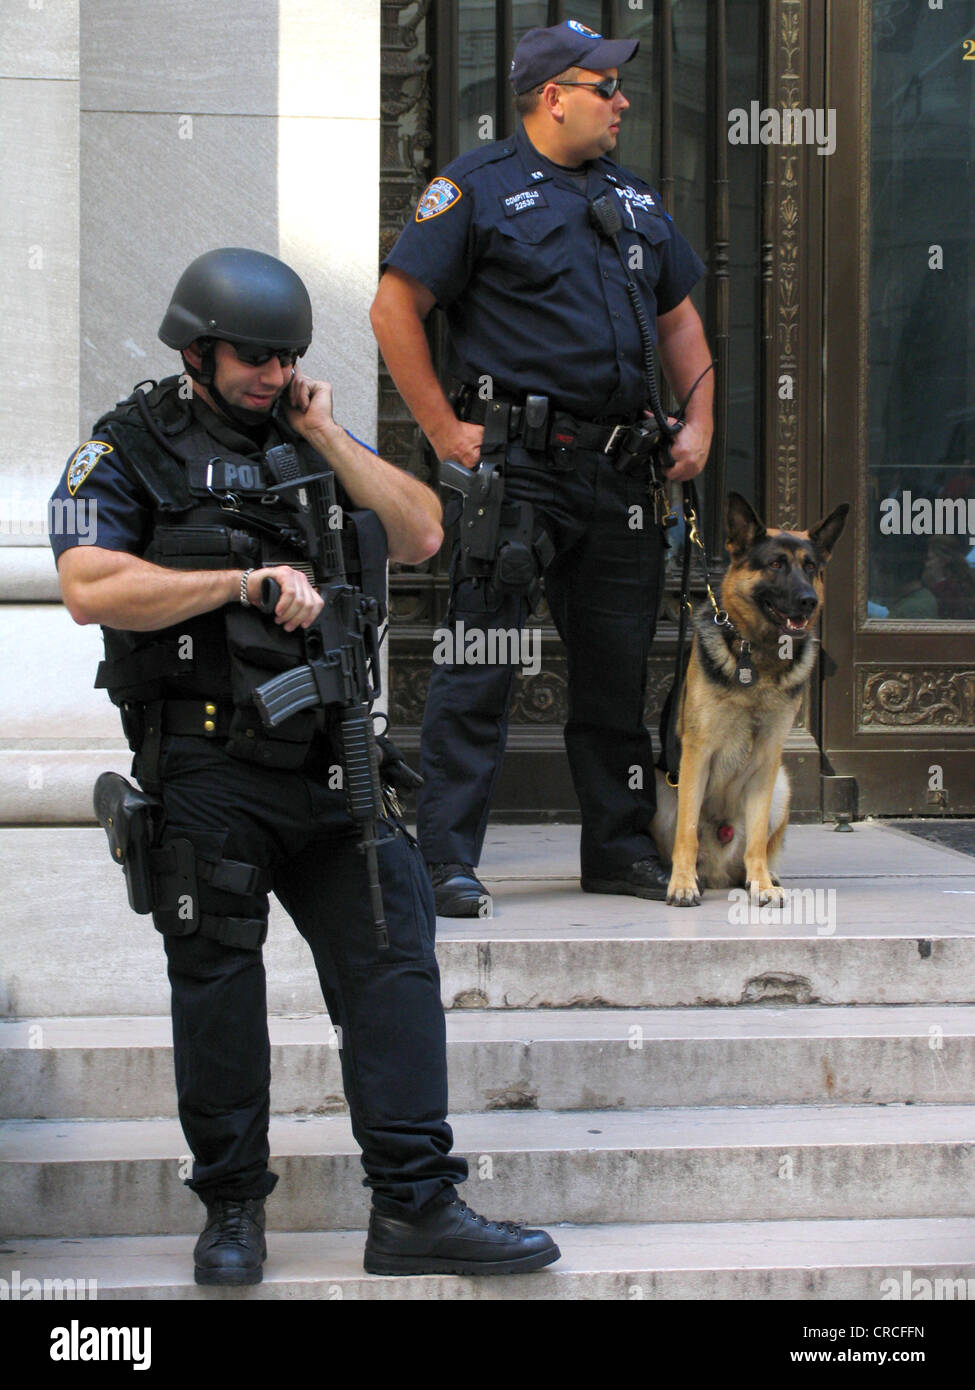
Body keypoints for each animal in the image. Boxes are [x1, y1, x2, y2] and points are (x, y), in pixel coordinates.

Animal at [650, 494, 845, 906]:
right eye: (775, 564)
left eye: (811, 567)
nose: (809, 600)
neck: (759, 658)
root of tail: (719, 870)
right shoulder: (697, 754)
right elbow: (687, 831)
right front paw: (682, 883)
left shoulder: (768, 759)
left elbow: (756, 838)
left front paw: (761, 885)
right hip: (660, 787)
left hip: (782, 785)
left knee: (757, 848)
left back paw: (762, 876)